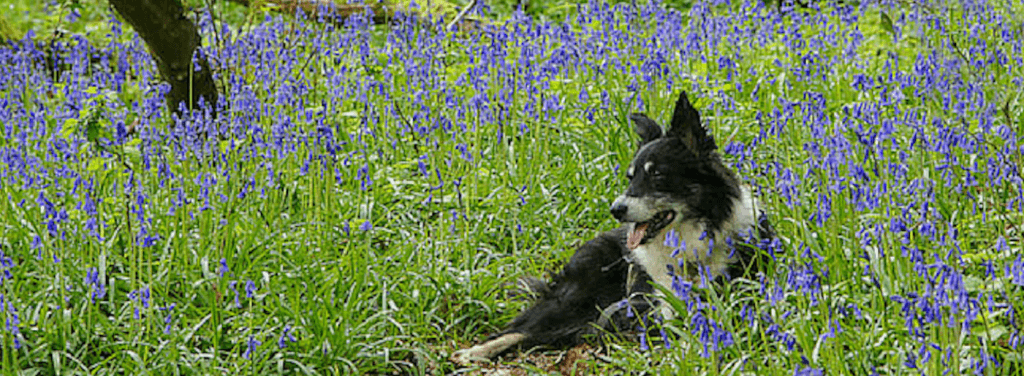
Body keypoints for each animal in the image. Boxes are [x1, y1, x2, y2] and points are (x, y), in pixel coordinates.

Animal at [452, 91, 770, 364]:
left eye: (657, 175)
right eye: (631, 177)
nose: (616, 210)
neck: (689, 248)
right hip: (575, 299)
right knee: (517, 329)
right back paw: (473, 353)